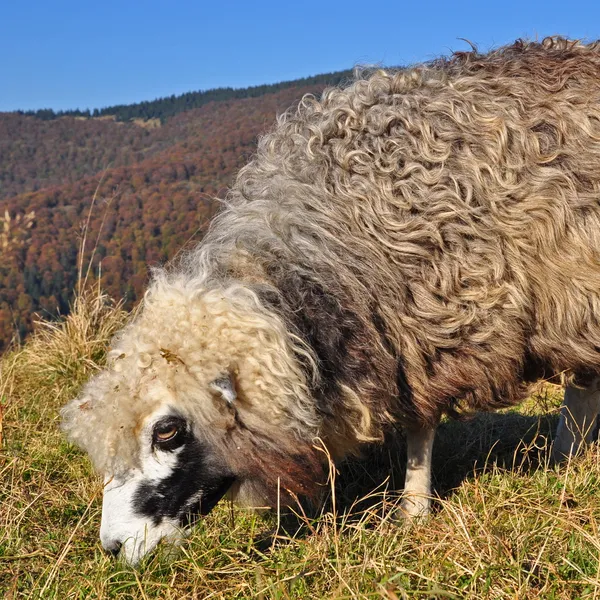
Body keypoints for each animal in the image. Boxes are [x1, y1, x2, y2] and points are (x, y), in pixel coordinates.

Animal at [62, 36, 600, 564]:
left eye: (167, 431)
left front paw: (413, 511)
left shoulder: (435, 317)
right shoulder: (406, 329)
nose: (112, 547)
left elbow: (421, 426)